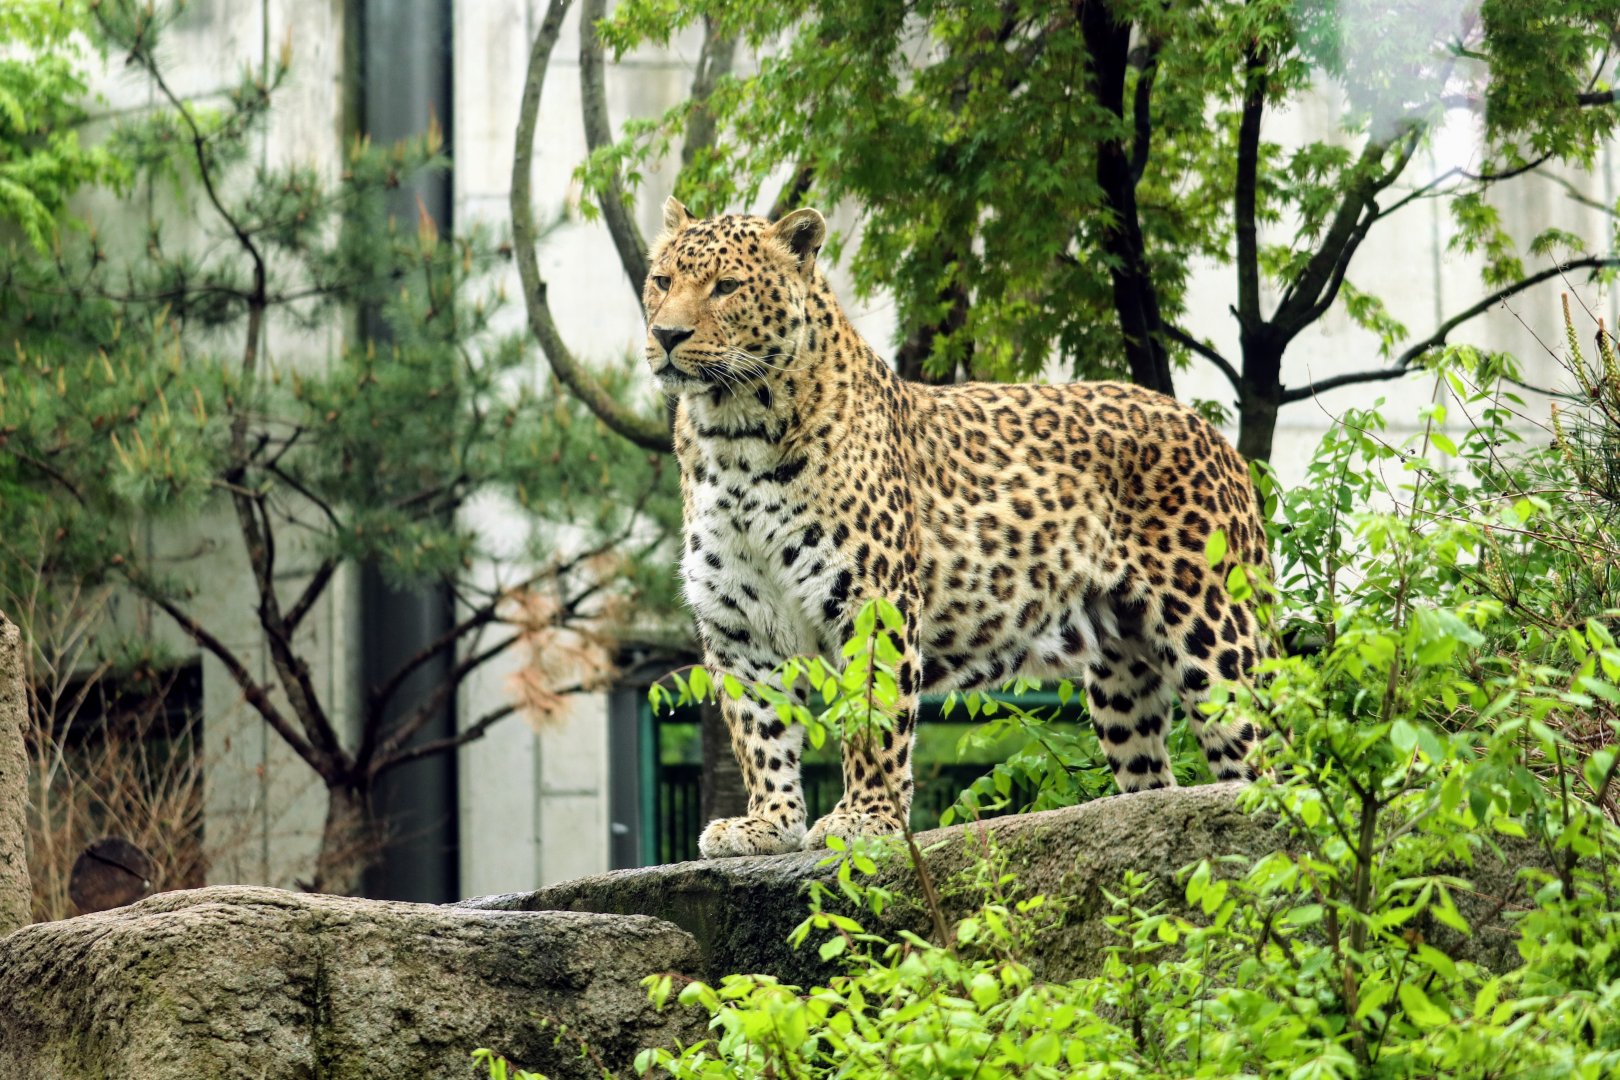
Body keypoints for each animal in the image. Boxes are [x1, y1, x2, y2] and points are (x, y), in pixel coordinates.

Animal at [643, 197, 1271, 859]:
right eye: (662, 281)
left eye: (726, 287)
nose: (666, 336)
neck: (733, 436)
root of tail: (1219, 440)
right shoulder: (739, 621)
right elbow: (759, 729)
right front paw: (766, 824)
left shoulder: (872, 601)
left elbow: (875, 715)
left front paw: (865, 820)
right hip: (1120, 676)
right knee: (1153, 783)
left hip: (1215, 640)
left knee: (1271, 759)